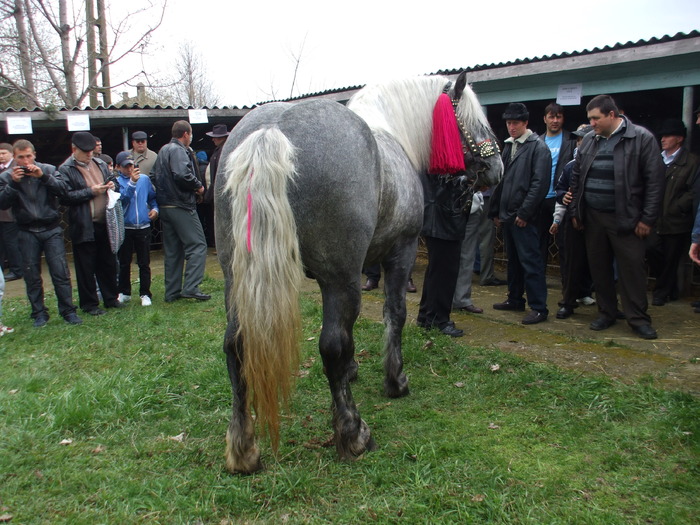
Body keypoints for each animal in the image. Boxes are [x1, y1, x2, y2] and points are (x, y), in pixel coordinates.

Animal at [216, 71, 500, 472]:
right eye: (477, 121)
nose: (498, 168)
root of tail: (273, 128)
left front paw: (353, 370)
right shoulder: (399, 252)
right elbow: (393, 315)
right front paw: (396, 381)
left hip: (236, 278)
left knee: (235, 344)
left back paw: (243, 449)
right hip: (341, 279)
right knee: (331, 346)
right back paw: (353, 433)